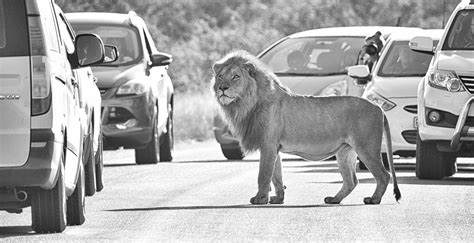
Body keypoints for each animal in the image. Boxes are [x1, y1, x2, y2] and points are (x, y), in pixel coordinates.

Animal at [211, 49, 400, 205]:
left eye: (236, 76)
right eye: (220, 76)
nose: (222, 88)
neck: (246, 104)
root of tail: (378, 107)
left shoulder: (268, 144)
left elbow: (263, 175)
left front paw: (260, 199)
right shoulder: (274, 147)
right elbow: (277, 177)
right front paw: (278, 199)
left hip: (366, 147)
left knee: (384, 175)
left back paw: (373, 199)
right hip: (345, 151)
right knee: (351, 181)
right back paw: (334, 199)